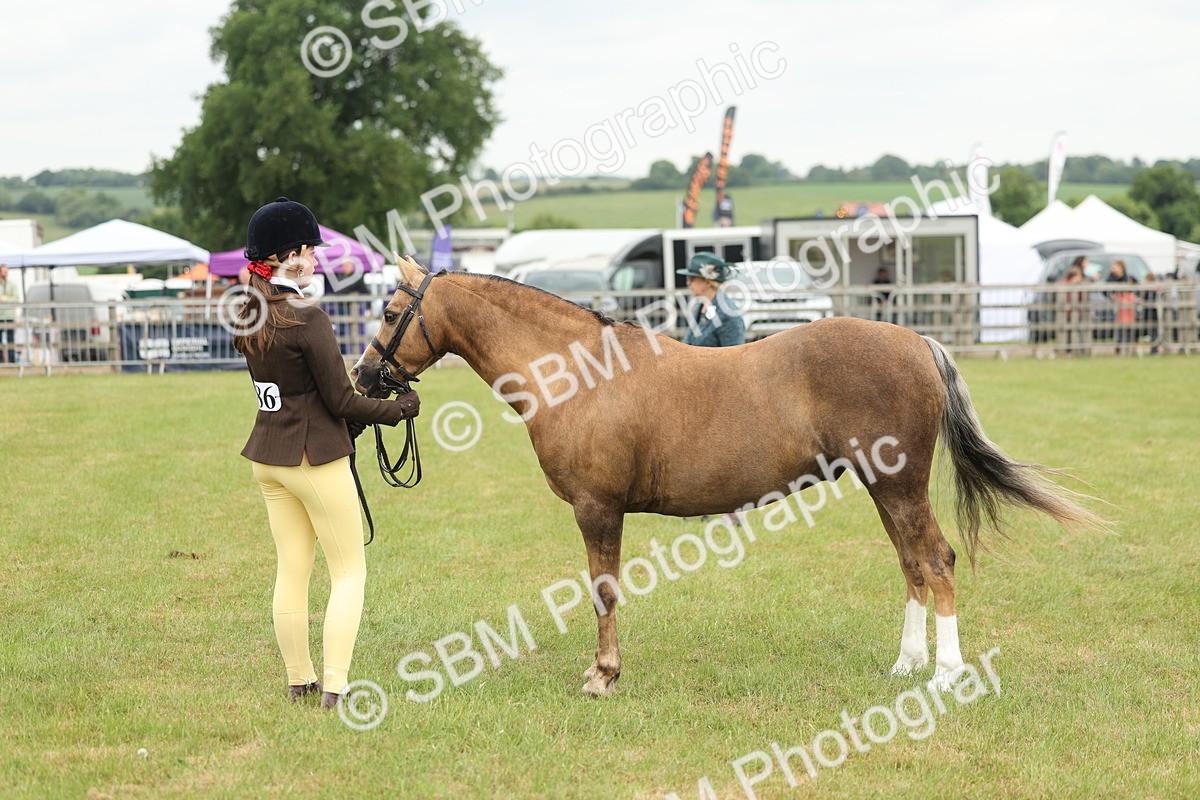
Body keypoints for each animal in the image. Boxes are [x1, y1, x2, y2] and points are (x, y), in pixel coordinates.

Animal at [352, 257, 1100, 696]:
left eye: (388, 313)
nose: (363, 377)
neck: (580, 373)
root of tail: (915, 340)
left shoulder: (598, 509)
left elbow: (602, 590)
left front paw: (602, 675)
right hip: (883, 488)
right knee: (912, 563)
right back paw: (907, 663)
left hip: (900, 486)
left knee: (936, 560)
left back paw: (944, 674)